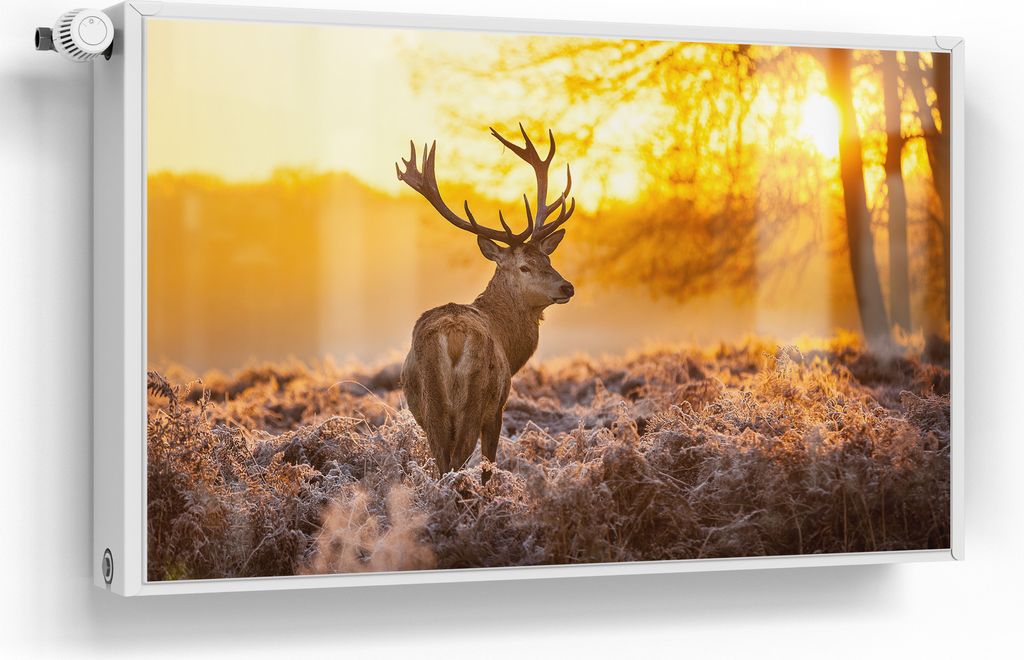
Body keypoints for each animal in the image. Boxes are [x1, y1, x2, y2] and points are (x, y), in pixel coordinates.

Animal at [396, 125, 577, 484]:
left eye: (548, 259)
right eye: (524, 267)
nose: (567, 286)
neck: (509, 343)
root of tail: (452, 336)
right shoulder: (499, 407)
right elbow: (489, 466)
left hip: (431, 405)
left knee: (442, 463)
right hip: (476, 398)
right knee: (458, 462)